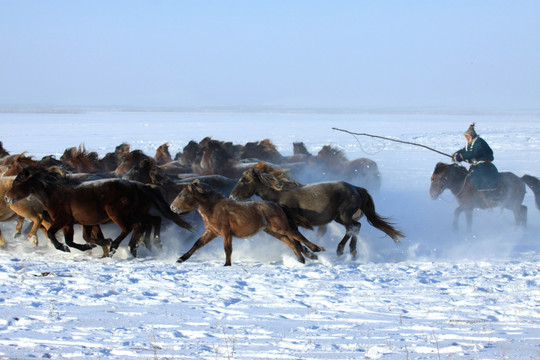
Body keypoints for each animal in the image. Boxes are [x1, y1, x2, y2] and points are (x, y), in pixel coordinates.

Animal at [4, 166, 193, 256]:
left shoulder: (63, 220)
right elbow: (80, 239)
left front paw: (65, 248)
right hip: (135, 213)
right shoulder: (80, 223)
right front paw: (94, 244)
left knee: (131, 227)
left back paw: (120, 246)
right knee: (150, 222)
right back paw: (143, 245)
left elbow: (54, 235)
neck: (54, 193)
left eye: (17, 182)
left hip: (117, 214)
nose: (6, 197)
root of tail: (140, 186)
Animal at [170, 179, 324, 266]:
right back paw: (301, 259)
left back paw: (317, 249)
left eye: (184, 195)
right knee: (289, 241)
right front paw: (180, 259)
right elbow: (197, 244)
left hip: (280, 227)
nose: (172, 207)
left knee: (297, 235)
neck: (214, 208)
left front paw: (227, 265)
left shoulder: (226, 232)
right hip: (273, 231)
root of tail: (278, 205)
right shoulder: (212, 232)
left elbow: (227, 249)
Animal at [229, 162, 404, 258]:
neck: (279, 194)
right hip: (339, 217)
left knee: (352, 228)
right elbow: (295, 239)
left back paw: (341, 250)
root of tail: (356, 189)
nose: (232, 196)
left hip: (344, 215)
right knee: (357, 227)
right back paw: (352, 251)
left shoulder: (292, 223)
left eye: (244, 180)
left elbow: (296, 238)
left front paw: (311, 253)